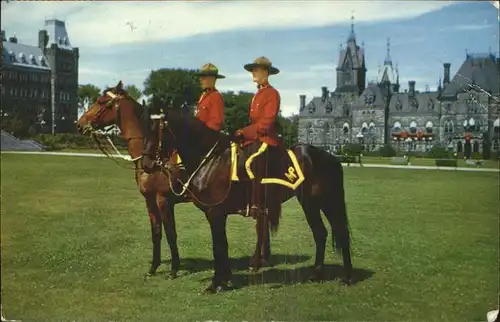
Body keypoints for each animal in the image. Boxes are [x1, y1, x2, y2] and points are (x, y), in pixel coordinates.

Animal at [76, 80, 272, 280]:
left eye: (101, 102)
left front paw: (173, 269)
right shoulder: (150, 200)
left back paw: (256, 263)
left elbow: (171, 234)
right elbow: (156, 233)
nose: (80, 124)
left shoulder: (164, 200)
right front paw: (153, 268)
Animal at [144, 95, 356, 292]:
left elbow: (217, 247)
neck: (210, 160)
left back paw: (347, 277)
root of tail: (330, 157)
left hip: (324, 202)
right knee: (320, 233)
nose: (147, 164)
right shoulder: (217, 215)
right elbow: (222, 245)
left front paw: (215, 284)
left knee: (339, 231)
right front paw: (224, 281)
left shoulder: (215, 213)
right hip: (310, 204)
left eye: (155, 130)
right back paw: (316, 274)